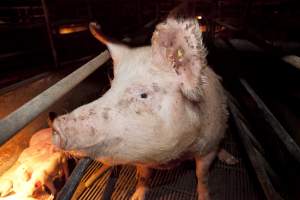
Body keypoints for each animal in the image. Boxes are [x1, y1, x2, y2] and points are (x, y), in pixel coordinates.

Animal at [52, 4, 227, 200]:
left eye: (143, 95)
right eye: (112, 86)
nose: (56, 125)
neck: (177, 155)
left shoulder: (209, 147)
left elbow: (202, 175)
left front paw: (205, 195)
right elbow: (144, 175)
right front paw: (136, 195)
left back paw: (231, 159)